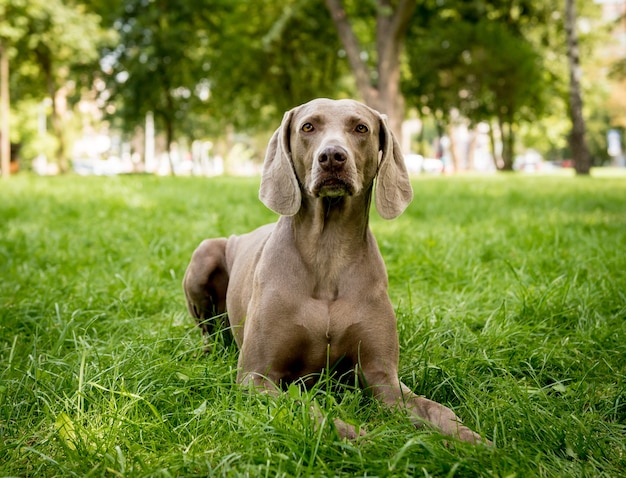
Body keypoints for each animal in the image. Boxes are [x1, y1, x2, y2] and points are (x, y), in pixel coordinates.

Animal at [183, 98, 486, 444]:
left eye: (361, 128)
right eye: (308, 127)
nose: (331, 156)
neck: (328, 253)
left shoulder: (382, 376)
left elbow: (435, 410)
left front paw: (475, 442)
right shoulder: (257, 376)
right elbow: (306, 407)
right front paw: (356, 436)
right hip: (204, 254)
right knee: (209, 333)